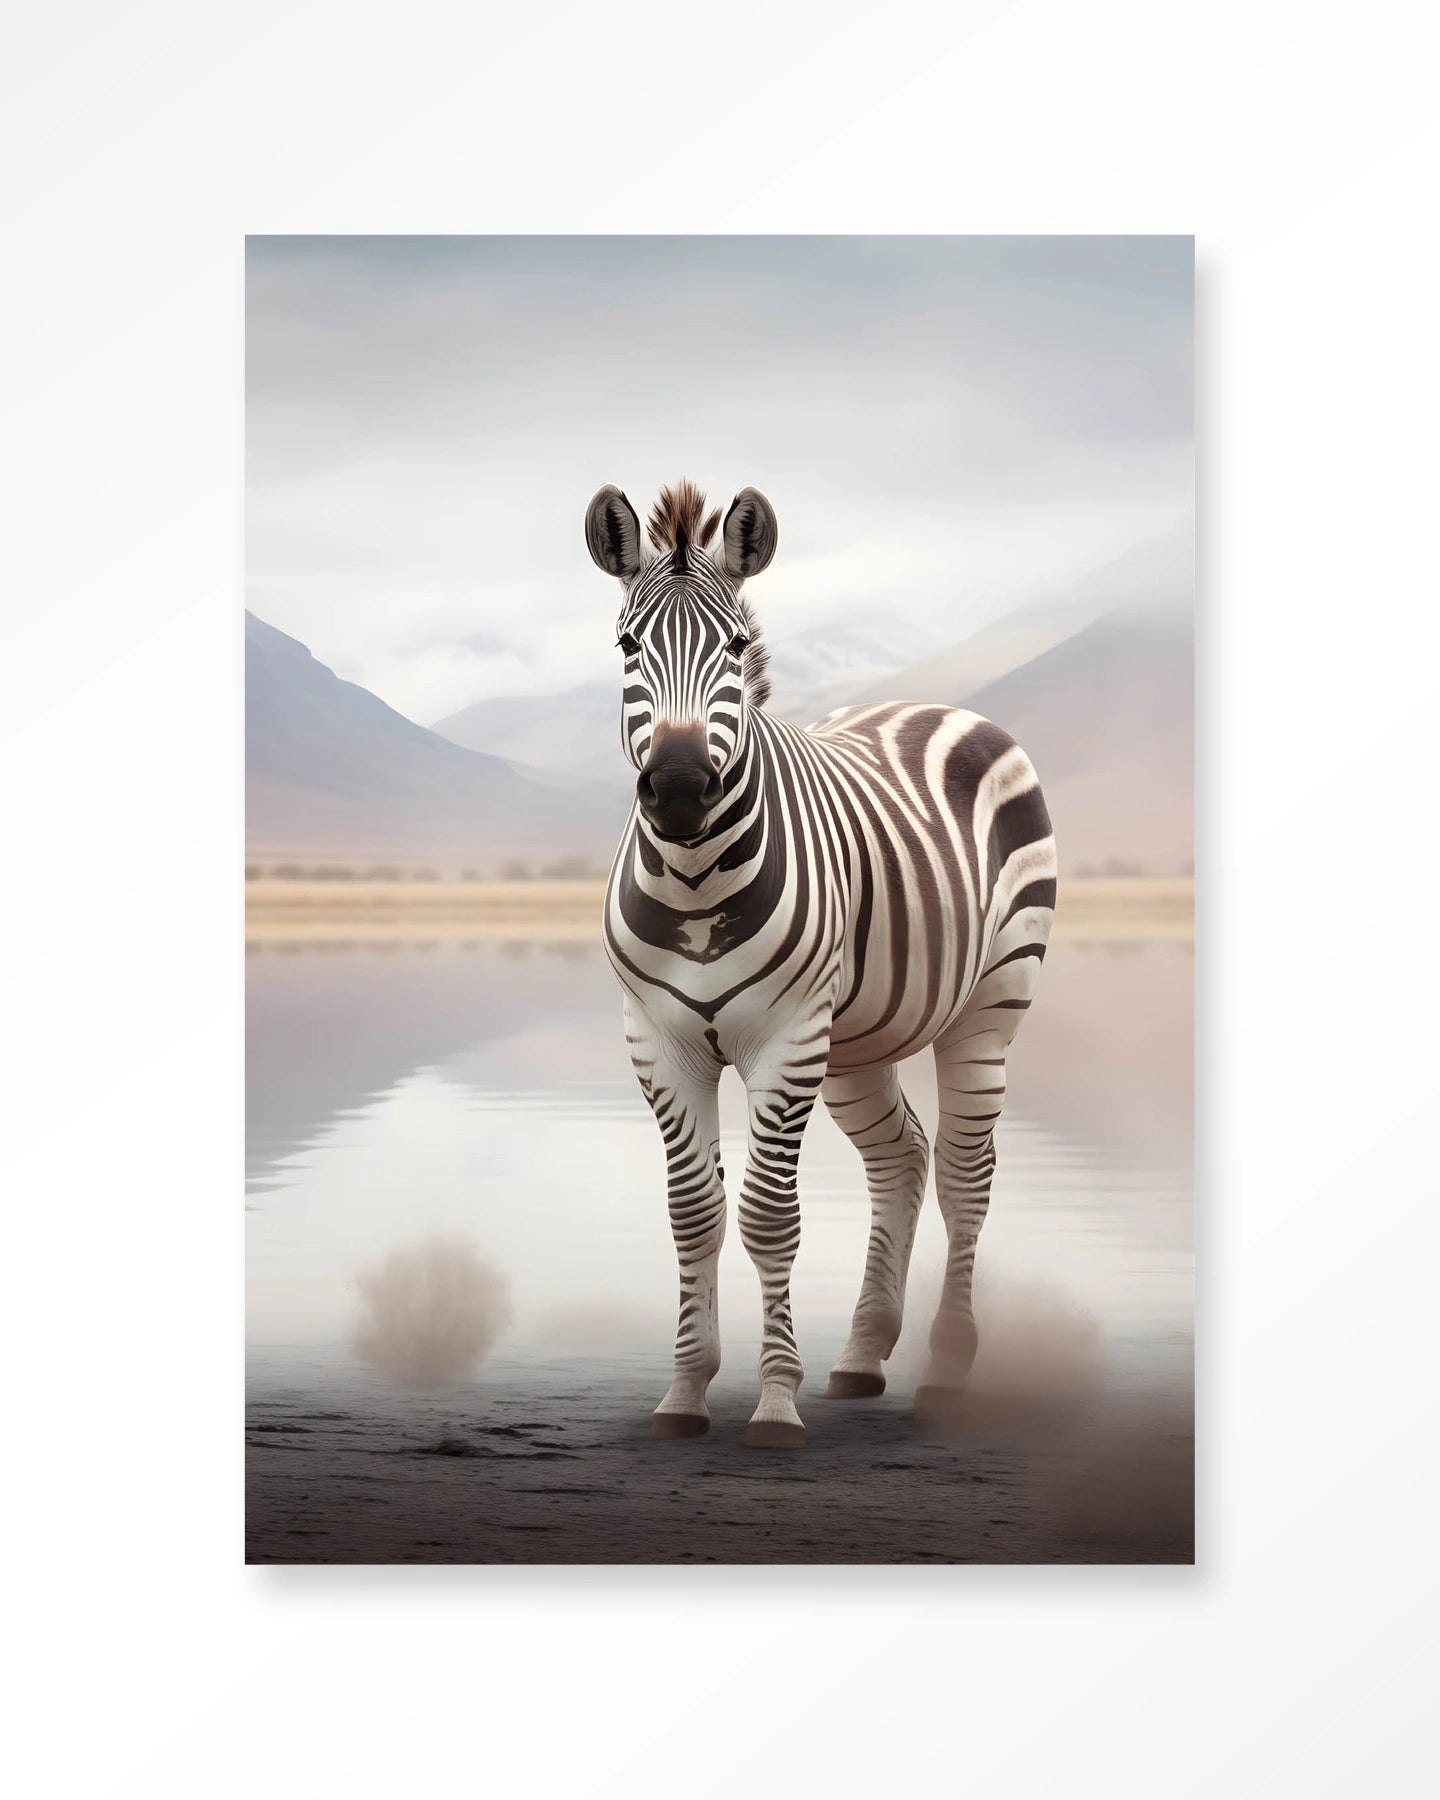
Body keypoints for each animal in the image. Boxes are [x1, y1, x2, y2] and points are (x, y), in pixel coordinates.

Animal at [587, 479, 1057, 1447]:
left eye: (735, 646)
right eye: (626, 646)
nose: (679, 788)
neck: (694, 880)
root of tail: (940, 705)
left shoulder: (785, 1038)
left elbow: (769, 1217)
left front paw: (774, 1402)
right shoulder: (658, 1041)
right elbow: (694, 1215)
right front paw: (685, 1392)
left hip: (990, 1004)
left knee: (965, 1174)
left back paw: (945, 1371)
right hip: (857, 1042)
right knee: (901, 1158)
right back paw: (863, 1356)